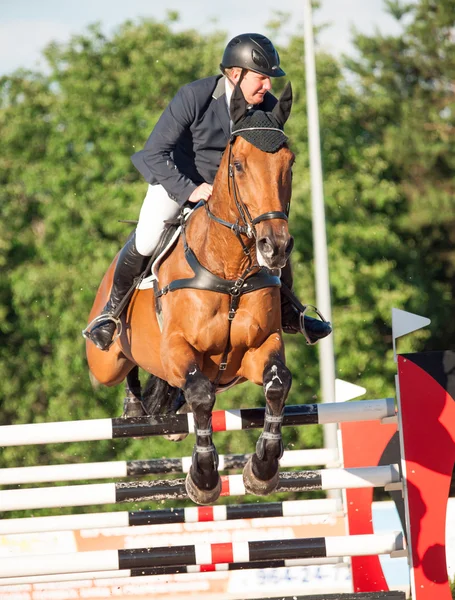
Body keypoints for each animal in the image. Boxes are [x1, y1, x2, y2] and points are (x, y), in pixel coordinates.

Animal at [86, 82, 296, 504]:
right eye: (238, 165)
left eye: (291, 163)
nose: (275, 247)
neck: (231, 273)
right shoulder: (176, 349)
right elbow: (200, 393)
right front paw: (203, 478)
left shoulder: (258, 348)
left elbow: (278, 383)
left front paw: (262, 469)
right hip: (105, 363)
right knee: (123, 367)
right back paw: (128, 390)